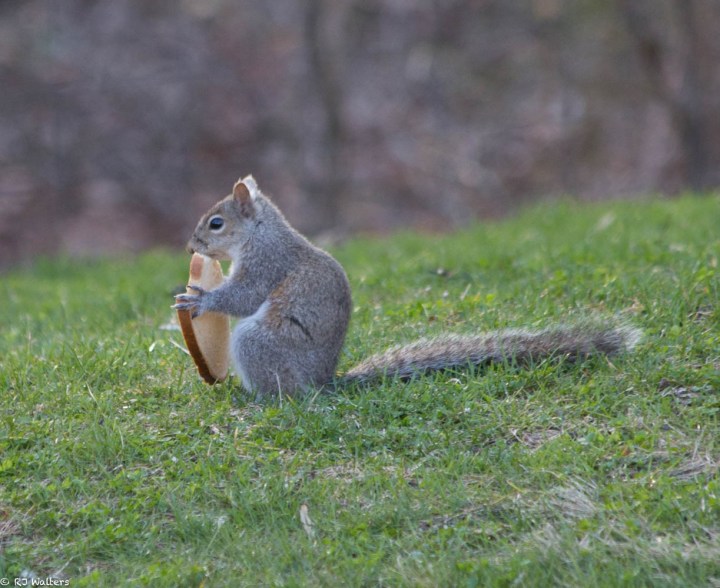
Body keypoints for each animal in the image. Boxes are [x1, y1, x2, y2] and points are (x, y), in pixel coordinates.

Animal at [173, 176, 641, 400]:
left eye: (217, 223)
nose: (191, 246)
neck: (261, 232)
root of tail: (323, 382)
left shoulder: (267, 263)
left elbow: (246, 294)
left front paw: (202, 299)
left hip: (260, 344)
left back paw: (253, 398)